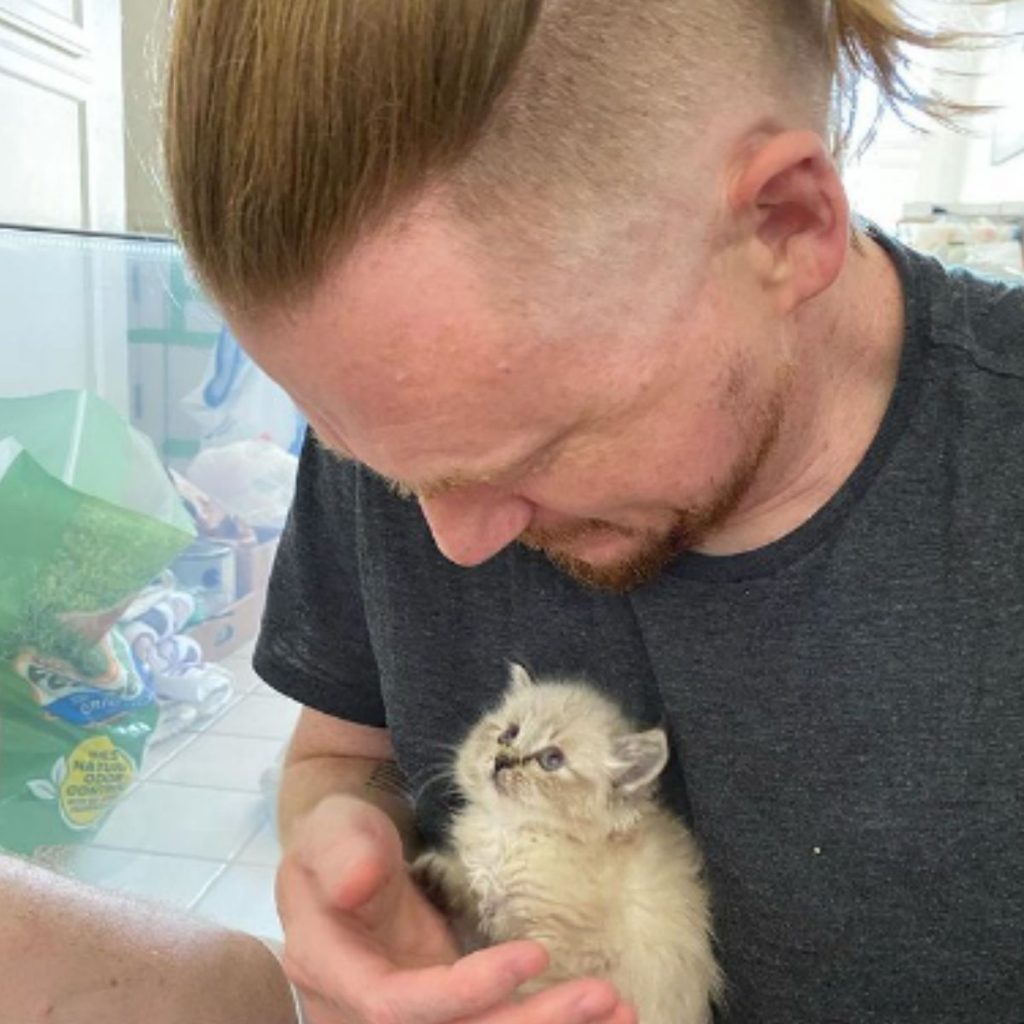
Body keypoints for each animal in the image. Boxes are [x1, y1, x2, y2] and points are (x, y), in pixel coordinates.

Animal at [411, 663, 724, 1024]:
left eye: (552, 759)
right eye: (509, 734)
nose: (502, 760)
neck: (511, 835)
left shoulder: (560, 950)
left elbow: (525, 992)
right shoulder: (492, 923)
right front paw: (438, 879)